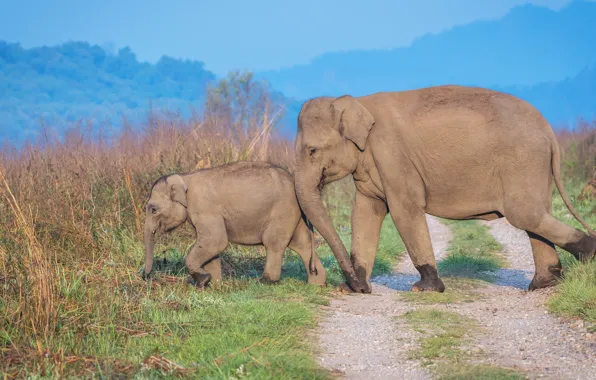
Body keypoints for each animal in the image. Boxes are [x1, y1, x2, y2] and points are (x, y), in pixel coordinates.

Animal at [141, 160, 326, 288]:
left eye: (153, 210)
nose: (146, 276)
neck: (184, 177)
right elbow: (212, 247)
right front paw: (213, 284)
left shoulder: (205, 208)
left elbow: (216, 241)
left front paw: (203, 281)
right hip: (293, 214)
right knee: (301, 244)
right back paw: (317, 284)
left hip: (283, 210)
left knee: (274, 243)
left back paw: (265, 282)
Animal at [294, 85, 596, 294]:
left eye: (312, 151)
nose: (357, 286)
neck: (358, 103)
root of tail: (548, 129)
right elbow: (365, 213)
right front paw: (352, 290)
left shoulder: (393, 157)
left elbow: (405, 211)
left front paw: (425, 289)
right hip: (534, 165)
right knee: (535, 214)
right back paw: (544, 284)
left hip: (523, 160)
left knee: (524, 214)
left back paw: (588, 256)